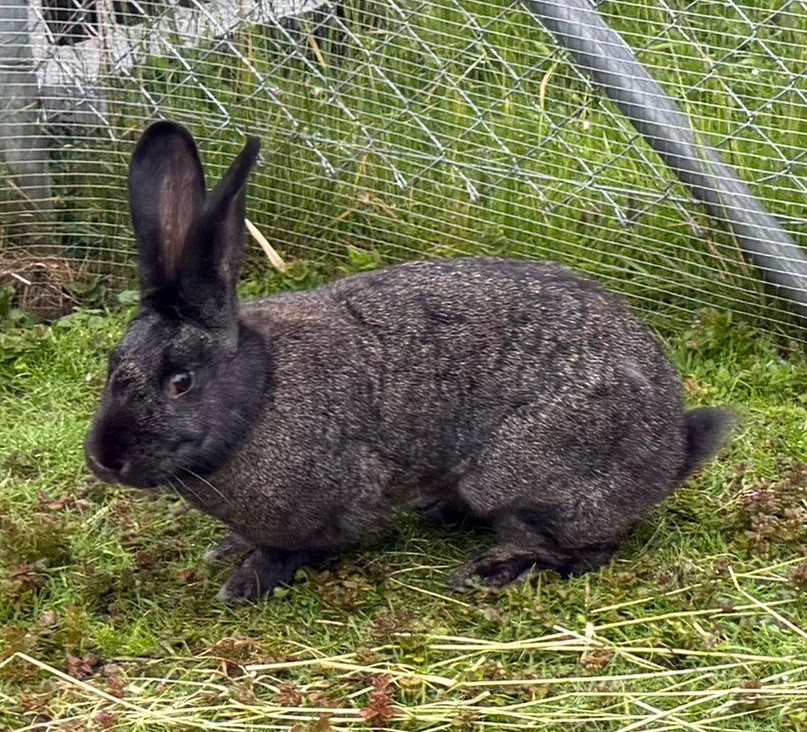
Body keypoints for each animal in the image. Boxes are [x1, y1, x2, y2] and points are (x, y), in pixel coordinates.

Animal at [85, 120, 736, 603]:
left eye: (181, 382)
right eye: (115, 362)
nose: (105, 460)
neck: (259, 397)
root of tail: (673, 449)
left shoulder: (336, 499)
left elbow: (296, 547)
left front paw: (247, 582)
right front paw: (229, 550)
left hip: (520, 472)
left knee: (586, 549)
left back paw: (496, 571)